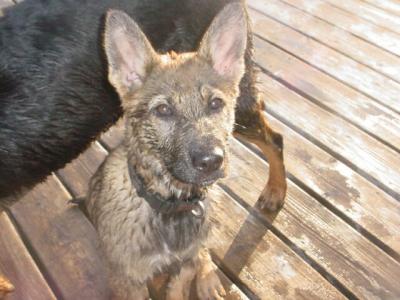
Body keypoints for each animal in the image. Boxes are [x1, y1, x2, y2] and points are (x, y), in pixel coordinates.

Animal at [85, 4, 247, 298]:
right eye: (163, 110)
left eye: (216, 104)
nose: (211, 161)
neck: (172, 205)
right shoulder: (128, 280)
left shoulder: (184, 265)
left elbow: (182, 281)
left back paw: (208, 278)